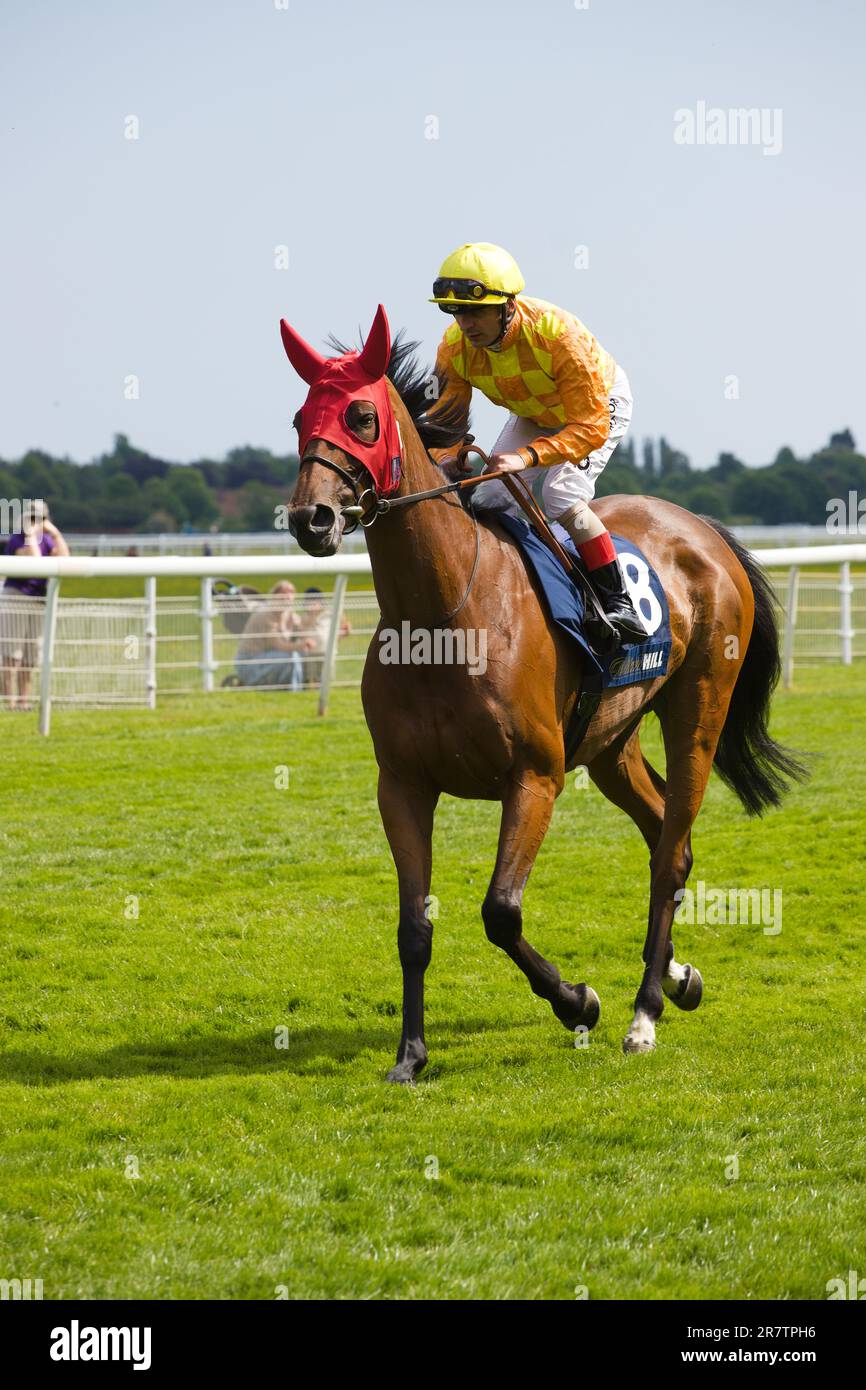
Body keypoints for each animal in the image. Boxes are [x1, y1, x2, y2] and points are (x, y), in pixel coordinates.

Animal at [280, 307, 800, 1084]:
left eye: (363, 417)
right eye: (298, 418)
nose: (308, 520)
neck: (445, 615)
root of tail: (701, 529)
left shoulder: (534, 776)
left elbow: (500, 911)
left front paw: (578, 1000)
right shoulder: (401, 783)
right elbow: (413, 926)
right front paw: (410, 1055)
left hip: (697, 710)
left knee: (671, 850)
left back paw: (644, 1012)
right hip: (611, 742)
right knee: (662, 835)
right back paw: (676, 975)